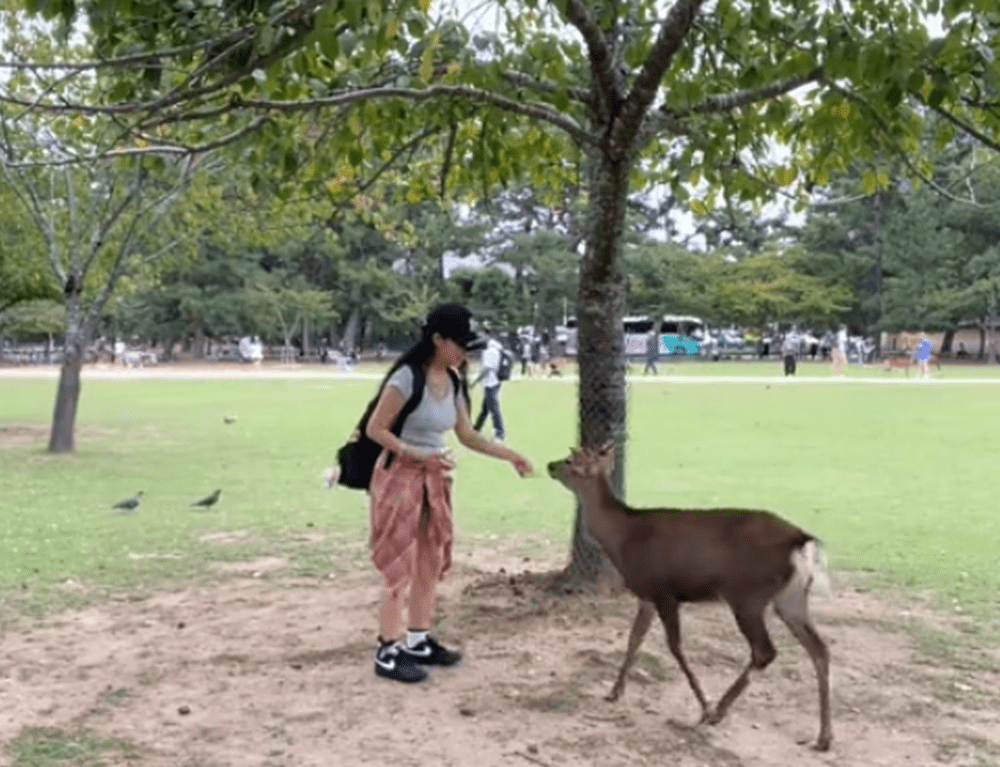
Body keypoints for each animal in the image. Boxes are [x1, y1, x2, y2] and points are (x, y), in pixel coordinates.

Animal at [552, 444, 832, 752]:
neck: (622, 538)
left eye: (570, 460)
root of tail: (802, 541)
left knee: (765, 651)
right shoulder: (646, 594)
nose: (549, 465)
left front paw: (703, 705)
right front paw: (614, 691)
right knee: (819, 649)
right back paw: (824, 737)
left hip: (748, 596)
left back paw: (718, 711)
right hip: (791, 598)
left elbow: (675, 646)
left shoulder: (663, 590)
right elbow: (634, 639)